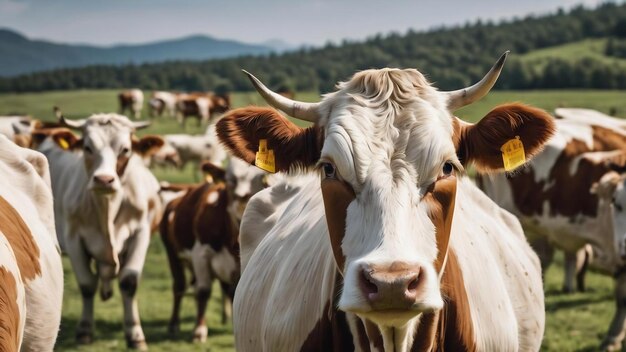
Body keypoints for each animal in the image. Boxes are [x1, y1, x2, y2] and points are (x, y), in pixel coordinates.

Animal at [36, 113, 163, 350]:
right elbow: (87, 284)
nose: (104, 180)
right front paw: (84, 331)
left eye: (125, 149)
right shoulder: (74, 239)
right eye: (87, 147)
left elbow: (129, 282)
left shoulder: (141, 234)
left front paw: (135, 335)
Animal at [158, 164, 239, 342]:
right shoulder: (201, 255)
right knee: (179, 286)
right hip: (172, 254)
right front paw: (199, 331)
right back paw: (174, 324)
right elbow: (203, 291)